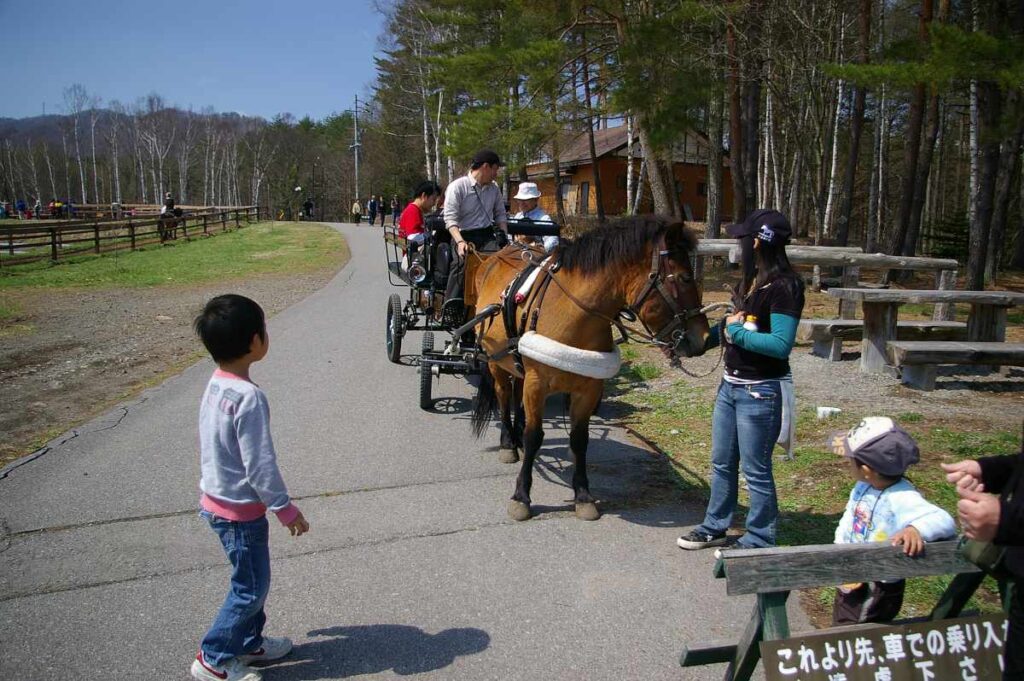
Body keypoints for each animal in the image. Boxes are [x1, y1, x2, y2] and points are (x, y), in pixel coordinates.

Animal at [468, 215, 708, 518]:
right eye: (686, 277)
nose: (705, 339)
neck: (573, 313)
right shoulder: (537, 384)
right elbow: (535, 436)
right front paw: (521, 496)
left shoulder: (589, 388)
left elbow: (579, 440)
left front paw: (583, 495)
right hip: (497, 363)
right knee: (502, 398)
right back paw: (508, 442)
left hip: (518, 362)